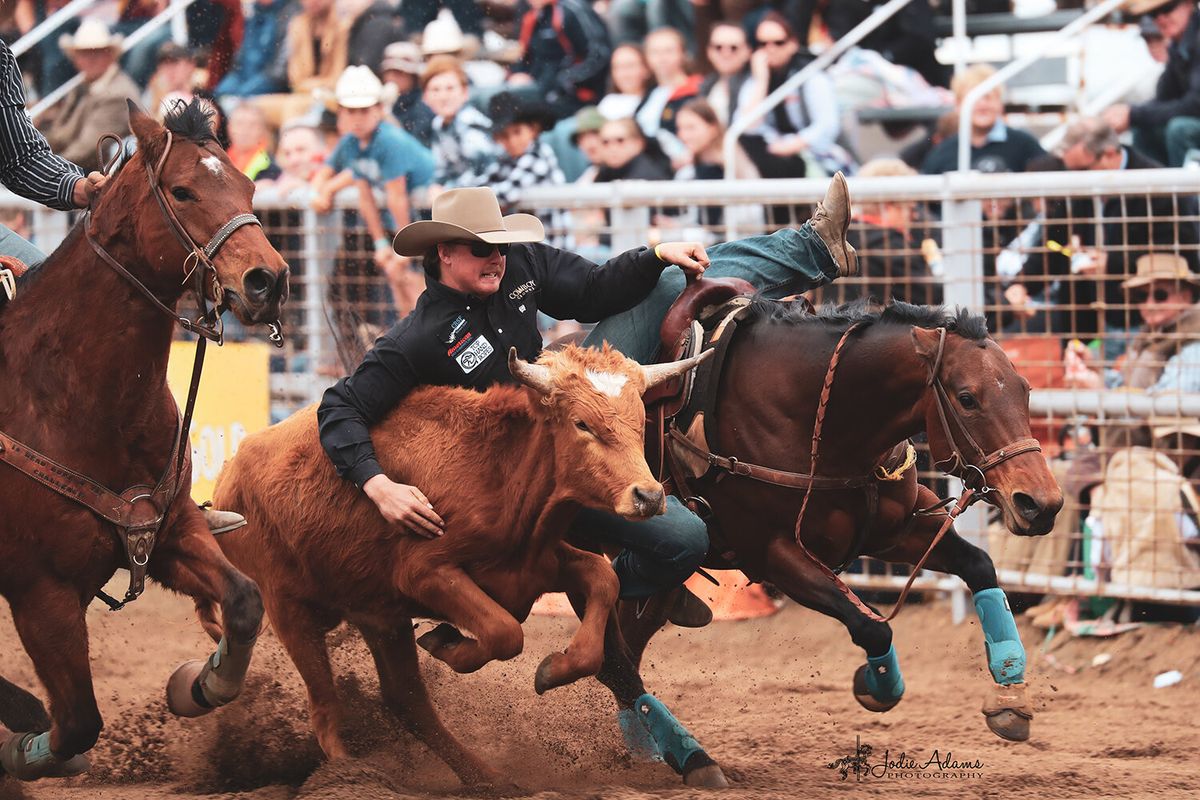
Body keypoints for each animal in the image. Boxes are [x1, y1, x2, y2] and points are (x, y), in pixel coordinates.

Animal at [0, 100, 288, 782]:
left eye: (250, 188)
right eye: (182, 191)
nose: (269, 280)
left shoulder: (169, 530)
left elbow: (244, 601)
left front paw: (198, 685)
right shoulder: (40, 590)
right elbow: (78, 721)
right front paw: (24, 747)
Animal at [585, 297, 1065, 786]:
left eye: (1025, 390)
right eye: (967, 399)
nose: (1040, 504)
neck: (818, 419)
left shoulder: (897, 532)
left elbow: (979, 566)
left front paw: (1010, 694)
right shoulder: (775, 556)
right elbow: (872, 625)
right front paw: (876, 685)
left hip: (661, 583)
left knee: (626, 649)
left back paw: (647, 746)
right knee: (612, 658)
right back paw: (690, 757)